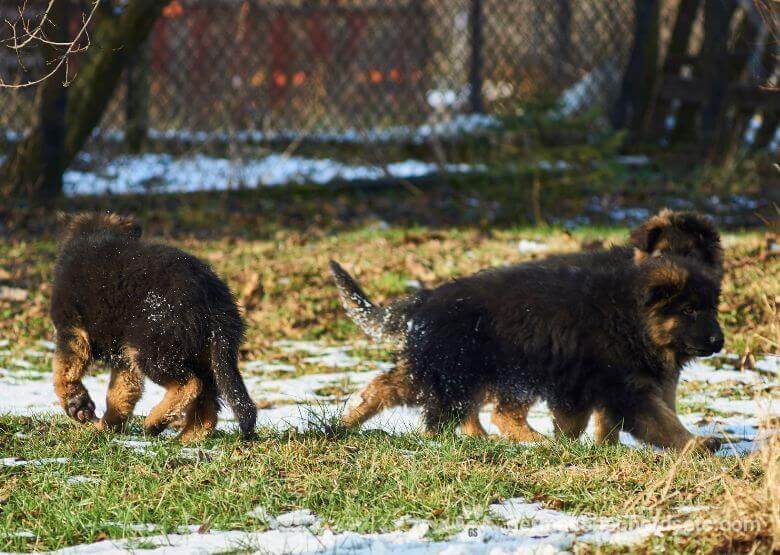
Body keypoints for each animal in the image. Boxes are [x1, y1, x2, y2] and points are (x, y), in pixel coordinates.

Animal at [50, 213, 258, 444]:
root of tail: (213, 296)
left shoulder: (71, 328)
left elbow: (63, 371)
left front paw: (76, 404)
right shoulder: (123, 356)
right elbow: (121, 393)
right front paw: (106, 427)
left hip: (152, 349)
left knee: (190, 384)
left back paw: (154, 422)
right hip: (203, 355)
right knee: (207, 403)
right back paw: (187, 438)